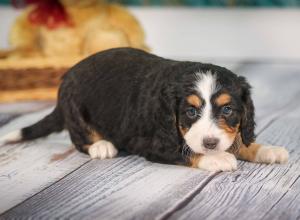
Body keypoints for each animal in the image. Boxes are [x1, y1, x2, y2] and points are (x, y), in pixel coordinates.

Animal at [1, 47, 290, 172]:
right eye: (190, 112)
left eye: (228, 110)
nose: (210, 143)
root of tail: (65, 79)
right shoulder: (154, 142)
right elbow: (184, 151)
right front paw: (217, 158)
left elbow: (239, 140)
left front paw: (265, 149)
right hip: (76, 110)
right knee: (79, 138)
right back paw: (101, 146)